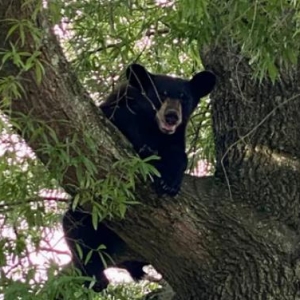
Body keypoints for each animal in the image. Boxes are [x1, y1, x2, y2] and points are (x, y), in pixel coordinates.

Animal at [62, 63, 214, 292]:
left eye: (184, 98)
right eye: (161, 94)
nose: (171, 116)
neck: (152, 127)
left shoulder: (175, 138)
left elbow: (179, 155)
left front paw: (169, 182)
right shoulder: (118, 109)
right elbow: (115, 122)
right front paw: (145, 149)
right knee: (76, 227)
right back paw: (97, 278)